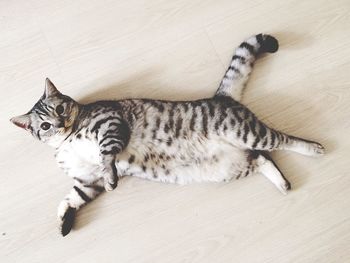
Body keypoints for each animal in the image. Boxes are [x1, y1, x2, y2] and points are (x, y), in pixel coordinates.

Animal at [9, 34, 324, 238]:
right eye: (44, 125)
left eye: (60, 108)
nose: (59, 122)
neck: (66, 142)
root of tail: (221, 97)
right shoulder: (87, 181)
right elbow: (70, 198)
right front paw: (64, 222)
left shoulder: (110, 123)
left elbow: (106, 154)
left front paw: (111, 176)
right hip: (230, 166)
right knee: (262, 159)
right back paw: (282, 183)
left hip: (246, 132)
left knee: (283, 140)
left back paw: (314, 149)